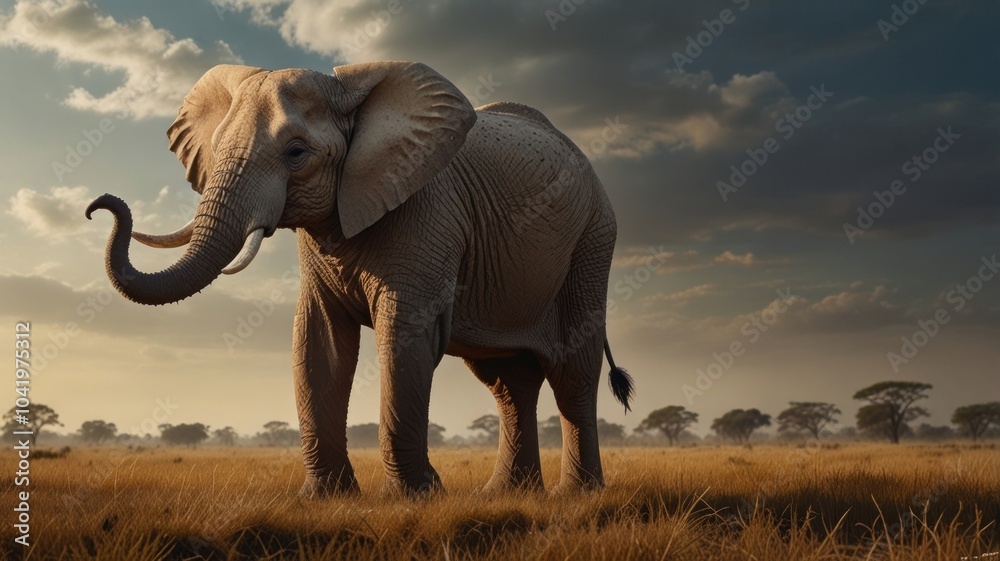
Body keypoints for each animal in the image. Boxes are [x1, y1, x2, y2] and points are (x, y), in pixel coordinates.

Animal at [86, 61, 633, 496]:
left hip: (592, 240)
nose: (98, 207)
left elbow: (404, 336)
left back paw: (575, 496)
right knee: (507, 381)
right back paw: (503, 495)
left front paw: (416, 498)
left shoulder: (428, 211)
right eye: (216, 148)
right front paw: (325, 499)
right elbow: (318, 341)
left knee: (572, 371)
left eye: (296, 153)